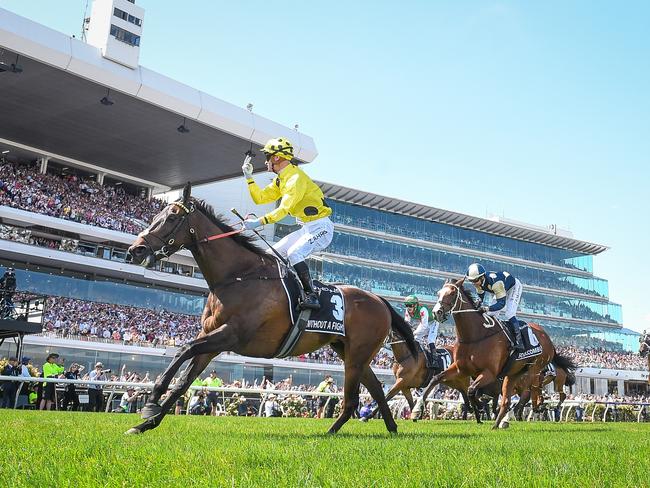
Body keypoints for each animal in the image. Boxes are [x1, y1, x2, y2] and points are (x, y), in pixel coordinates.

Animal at [123, 183, 416, 434]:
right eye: (157, 214)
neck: (239, 276)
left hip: (357, 353)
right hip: (348, 351)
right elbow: (184, 380)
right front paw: (146, 423)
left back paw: (335, 431)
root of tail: (379, 300)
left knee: (355, 397)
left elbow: (183, 350)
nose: (135, 250)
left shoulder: (232, 335)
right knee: (375, 389)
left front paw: (151, 401)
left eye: (171, 217)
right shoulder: (211, 339)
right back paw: (388, 429)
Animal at [412, 280, 556, 428]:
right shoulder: (460, 369)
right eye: (438, 293)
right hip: (514, 373)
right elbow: (437, 379)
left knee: (527, 394)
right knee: (508, 400)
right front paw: (416, 410)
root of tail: (546, 336)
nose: (437, 312)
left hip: (534, 370)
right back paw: (499, 423)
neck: (475, 336)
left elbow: (471, 390)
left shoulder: (489, 373)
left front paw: (479, 408)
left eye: (452, 293)